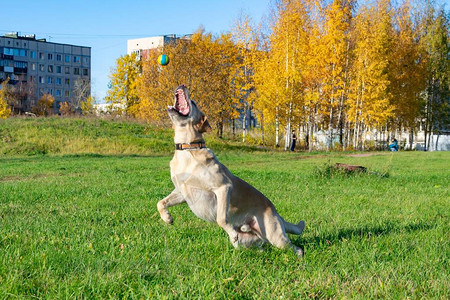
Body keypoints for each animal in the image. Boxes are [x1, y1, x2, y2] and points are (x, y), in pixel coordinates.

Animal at [156, 85, 304, 256]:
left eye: (193, 102)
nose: (182, 86)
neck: (187, 149)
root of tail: (276, 213)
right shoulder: (182, 191)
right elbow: (160, 202)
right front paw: (167, 218)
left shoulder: (223, 187)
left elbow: (221, 218)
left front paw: (231, 232)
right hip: (252, 241)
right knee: (259, 248)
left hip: (275, 235)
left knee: (296, 248)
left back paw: (300, 257)